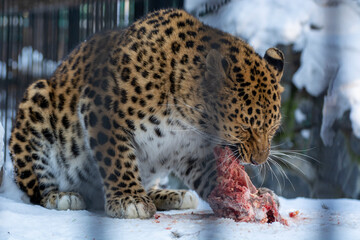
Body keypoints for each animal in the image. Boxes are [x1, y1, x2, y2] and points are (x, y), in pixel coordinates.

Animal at [7, 8, 284, 219]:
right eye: (244, 127)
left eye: (272, 129)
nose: (259, 160)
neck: (187, 120)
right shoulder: (99, 108)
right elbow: (117, 158)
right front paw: (130, 200)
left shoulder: (191, 150)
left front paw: (251, 198)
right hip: (36, 101)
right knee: (35, 187)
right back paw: (62, 196)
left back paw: (173, 195)